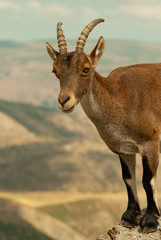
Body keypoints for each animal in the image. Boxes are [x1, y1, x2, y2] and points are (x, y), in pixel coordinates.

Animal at [45, 19, 161, 234]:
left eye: (86, 68)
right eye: (55, 71)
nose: (64, 101)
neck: (119, 99)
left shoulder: (150, 143)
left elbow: (147, 180)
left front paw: (150, 221)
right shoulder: (123, 148)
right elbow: (128, 178)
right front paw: (130, 216)